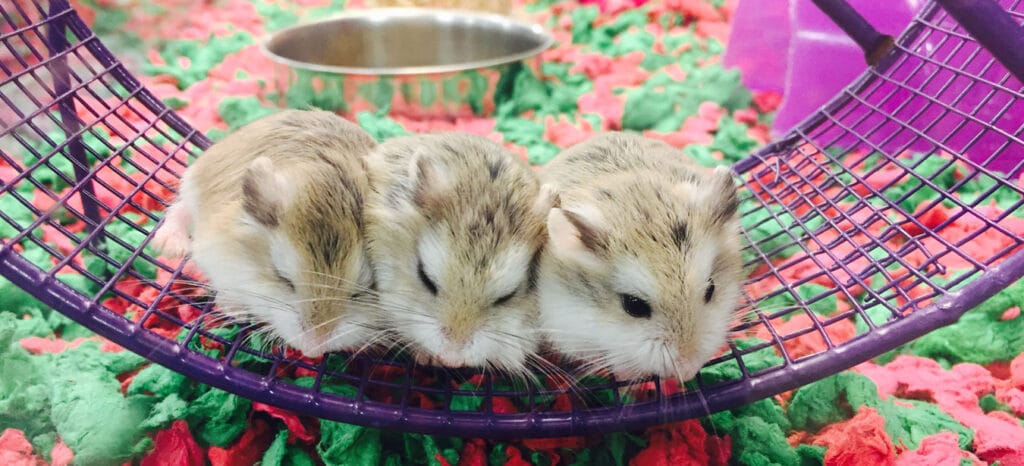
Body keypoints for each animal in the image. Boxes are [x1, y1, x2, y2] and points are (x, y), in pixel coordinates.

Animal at [152, 109, 380, 358]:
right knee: (181, 207)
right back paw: (170, 245)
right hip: (194, 181)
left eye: (361, 291)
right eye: (283, 278)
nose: (312, 350)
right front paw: (234, 310)